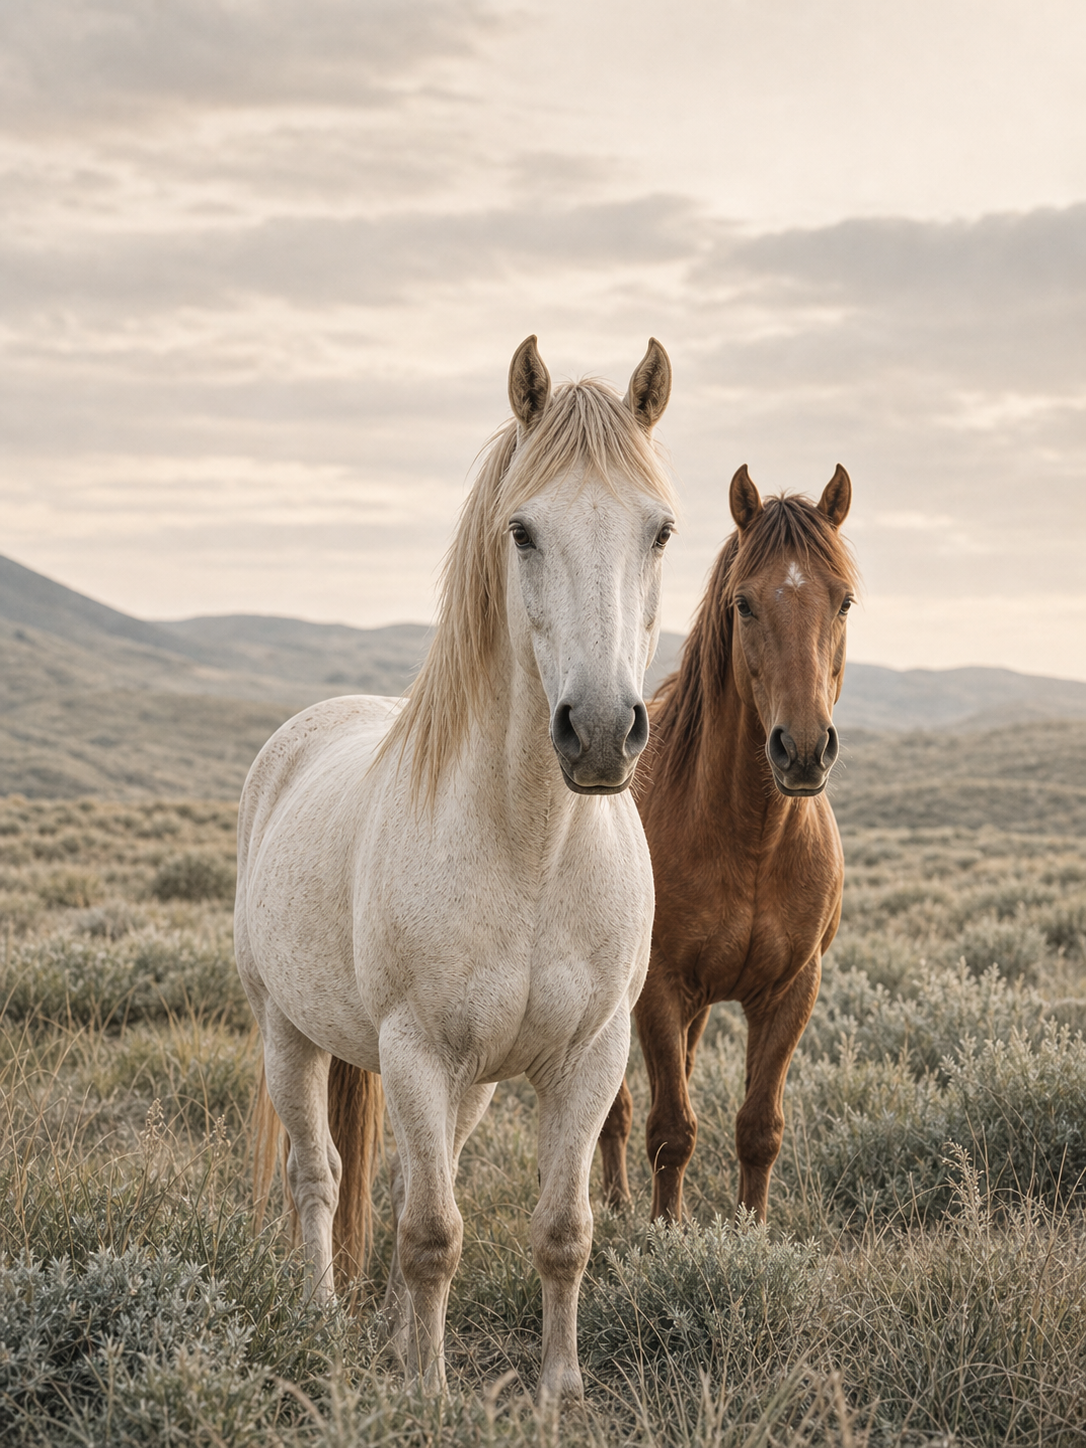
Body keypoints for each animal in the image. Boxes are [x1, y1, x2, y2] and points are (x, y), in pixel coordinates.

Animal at [237, 335, 677, 1401]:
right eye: (522, 530)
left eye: (661, 531)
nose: (600, 732)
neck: (533, 851)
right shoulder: (416, 1051)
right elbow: (433, 1233)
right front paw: (429, 1391)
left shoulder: (588, 1056)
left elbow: (561, 1230)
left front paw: (558, 1388)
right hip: (287, 1032)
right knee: (320, 1177)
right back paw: (321, 1317)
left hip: (467, 1085)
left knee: (395, 1183)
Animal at [598, 463, 857, 1223]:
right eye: (744, 605)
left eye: (844, 603)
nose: (803, 750)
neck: (753, 841)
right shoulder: (658, 988)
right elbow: (670, 1129)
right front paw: (665, 1231)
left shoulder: (790, 991)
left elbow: (758, 1128)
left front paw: (751, 1232)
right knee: (615, 1111)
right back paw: (616, 1203)